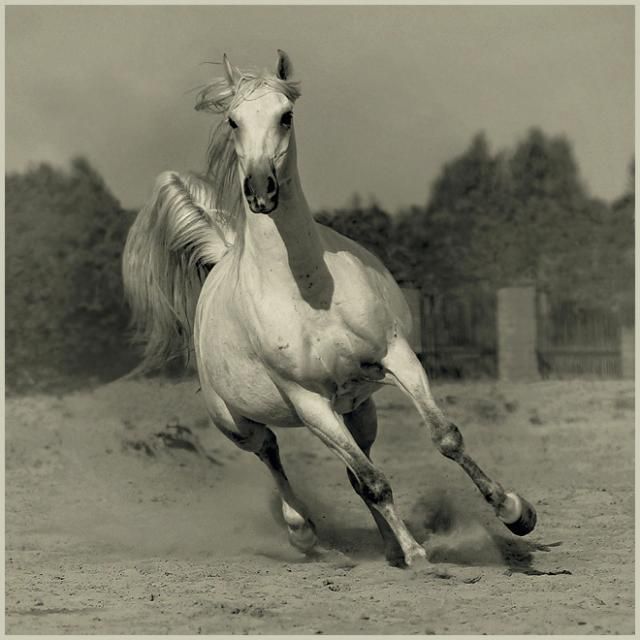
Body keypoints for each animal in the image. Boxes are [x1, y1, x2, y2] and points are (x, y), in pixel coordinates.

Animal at [122, 50, 536, 567]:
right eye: (233, 120)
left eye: (286, 115)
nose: (261, 191)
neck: (308, 289)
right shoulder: (308, 401)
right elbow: (377, 482)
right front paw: (418, 555)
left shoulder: (397, 358)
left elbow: (444, 438)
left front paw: (515, 511)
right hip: (240, 424)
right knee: (273, 453)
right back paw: (304, 532)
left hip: (359, 408)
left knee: (355, 470)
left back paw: (386, 548)